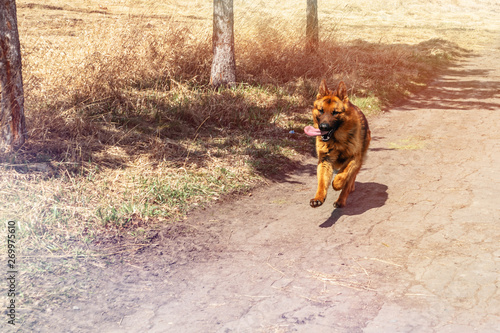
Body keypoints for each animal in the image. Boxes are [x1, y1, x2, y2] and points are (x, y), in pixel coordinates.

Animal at [302, 80, 370, 208]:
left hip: (359, 161)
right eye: (321, 110)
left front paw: (337, 183)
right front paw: (318, 198)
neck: (337, 141)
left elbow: (344, 173)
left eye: (335, 113)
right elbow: (322, 182)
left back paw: (341, 200)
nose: (323, 127)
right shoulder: (325, 160)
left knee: (349, 180)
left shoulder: (354, 158)